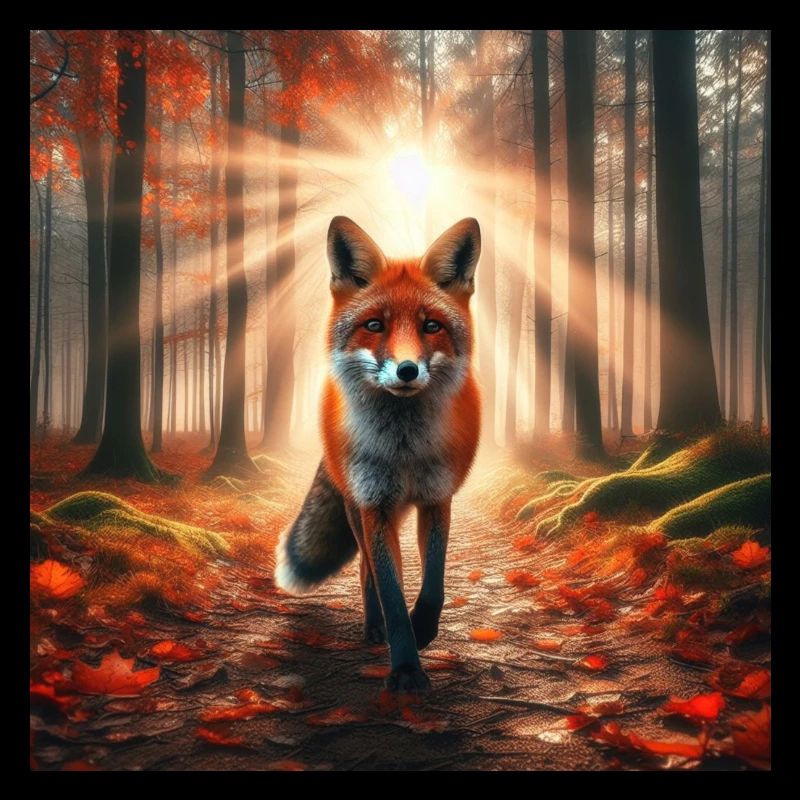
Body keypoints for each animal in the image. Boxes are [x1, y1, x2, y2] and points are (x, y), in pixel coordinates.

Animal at [275, 215, 481, 692]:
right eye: (374, 325)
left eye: (431, 326)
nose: (407, 370)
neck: (403, 452)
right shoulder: (375, 505)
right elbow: (390, 590)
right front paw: (404, 667)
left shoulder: (437, 497)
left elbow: (433, 585)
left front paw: (423, 629)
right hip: (356, 507)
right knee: (368, 572)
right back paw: (375, 627)